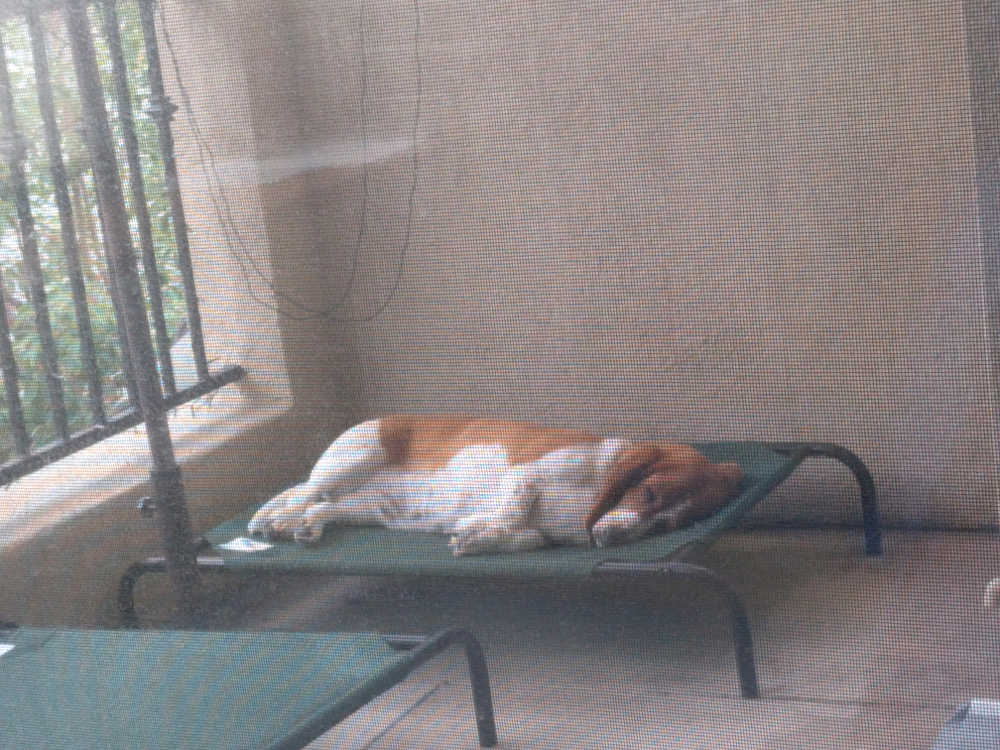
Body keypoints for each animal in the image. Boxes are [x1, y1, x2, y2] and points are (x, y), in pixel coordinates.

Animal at [248, 415, 745, 556]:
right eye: (649, 494)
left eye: (668, 527)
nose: (611, 539)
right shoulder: (525, 475)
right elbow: (512, 511)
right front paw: (478, 527)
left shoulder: (540, 535)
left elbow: (526, 537)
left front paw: (482, 538)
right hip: (350, 462)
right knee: (302, 495)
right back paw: (274, 522)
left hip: (371, 508)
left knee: (321, 508)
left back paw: (308, 527)